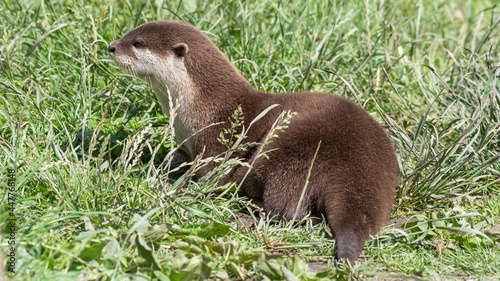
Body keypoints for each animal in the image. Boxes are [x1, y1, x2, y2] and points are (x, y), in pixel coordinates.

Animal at [108, 19, 398, 262]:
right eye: (129, 33)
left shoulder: (217, 142)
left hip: (290, 147)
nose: (111, 47)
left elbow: (208, 174)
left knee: (287, 210)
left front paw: (175, 184)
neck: (201, 108)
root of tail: (353, 163)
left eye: (138, 43)